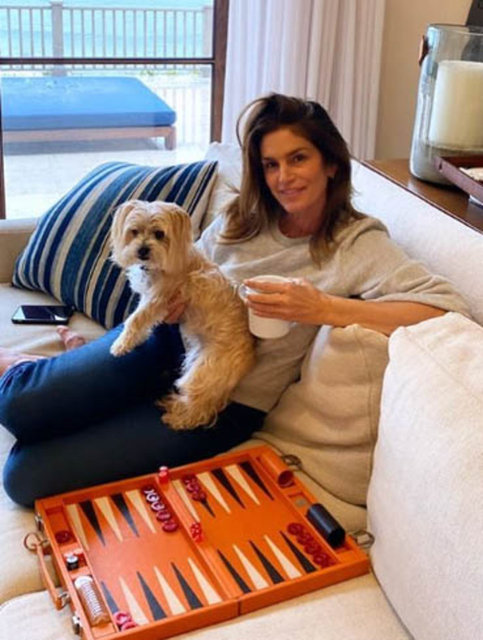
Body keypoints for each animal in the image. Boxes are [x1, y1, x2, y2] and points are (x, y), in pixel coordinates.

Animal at [109, 200, 256, 431]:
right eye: (134, 231)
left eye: (159, 234)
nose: (142, 250)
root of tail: (250, 358)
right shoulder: (151, 300)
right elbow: (142, 321)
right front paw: (135, 340)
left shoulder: (157, 299)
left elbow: (135, 320)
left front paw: (121, 344)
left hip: (203, 371)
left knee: (200, 408)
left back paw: (177, 419)